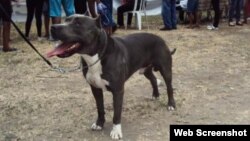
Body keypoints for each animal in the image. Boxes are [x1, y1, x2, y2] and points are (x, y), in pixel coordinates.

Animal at [47, 14, 176, 140]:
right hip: (146, 70)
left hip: (165, 69)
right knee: (153, 79)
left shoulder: (118, 91)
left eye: (78, 24)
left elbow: (116, 113)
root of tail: (159, 38)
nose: (53, 27)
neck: (96, 57)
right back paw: (155, 95)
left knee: (169, 87)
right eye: (66, 20)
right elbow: (100, 108)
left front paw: (116, 131)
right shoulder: (95, 89)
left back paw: (171, 104)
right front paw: (99, 124)